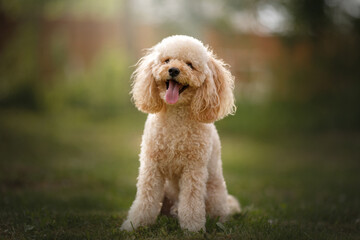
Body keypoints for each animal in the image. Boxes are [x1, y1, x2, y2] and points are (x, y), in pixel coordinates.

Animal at [121, 34, 242, 232]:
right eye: (166, 60)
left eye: (190, 64)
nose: (173, 70)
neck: (176, 117)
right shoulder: (151, 167)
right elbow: (145, 199)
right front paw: (135, 224)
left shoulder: (193, 169)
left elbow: (191, 203)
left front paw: (193, 229)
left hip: (214, 192)